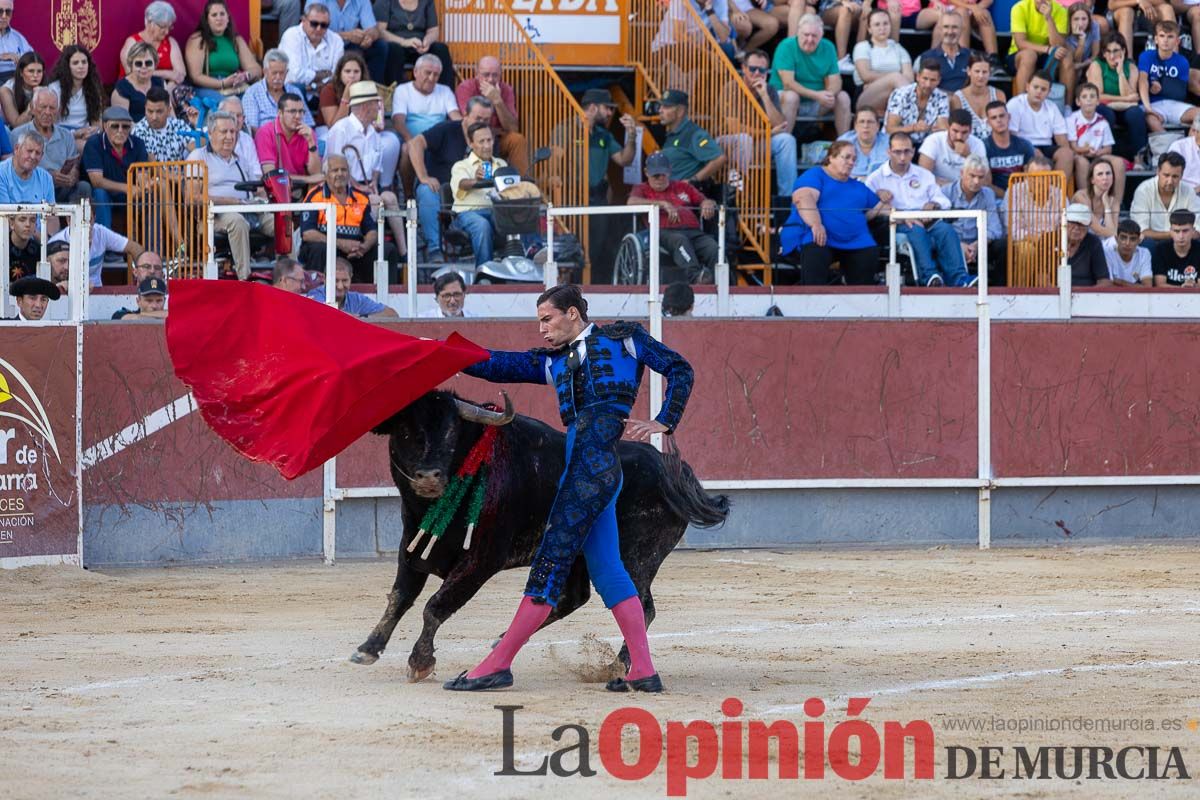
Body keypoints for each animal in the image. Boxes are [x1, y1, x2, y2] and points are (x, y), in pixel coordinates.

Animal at [350, 391, 729, 681]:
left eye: (451, 432)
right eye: (404, 431)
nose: (429, 476)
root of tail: (670, 470)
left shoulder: (481, 561)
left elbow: (435, 605)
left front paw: (420, 661)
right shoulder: (412, 548)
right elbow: (400, 598)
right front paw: (368, 648)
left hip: (637, 557)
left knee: (641, 605)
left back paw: (620, 666)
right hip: (578, 556)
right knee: (573, 598)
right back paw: (503, 640)